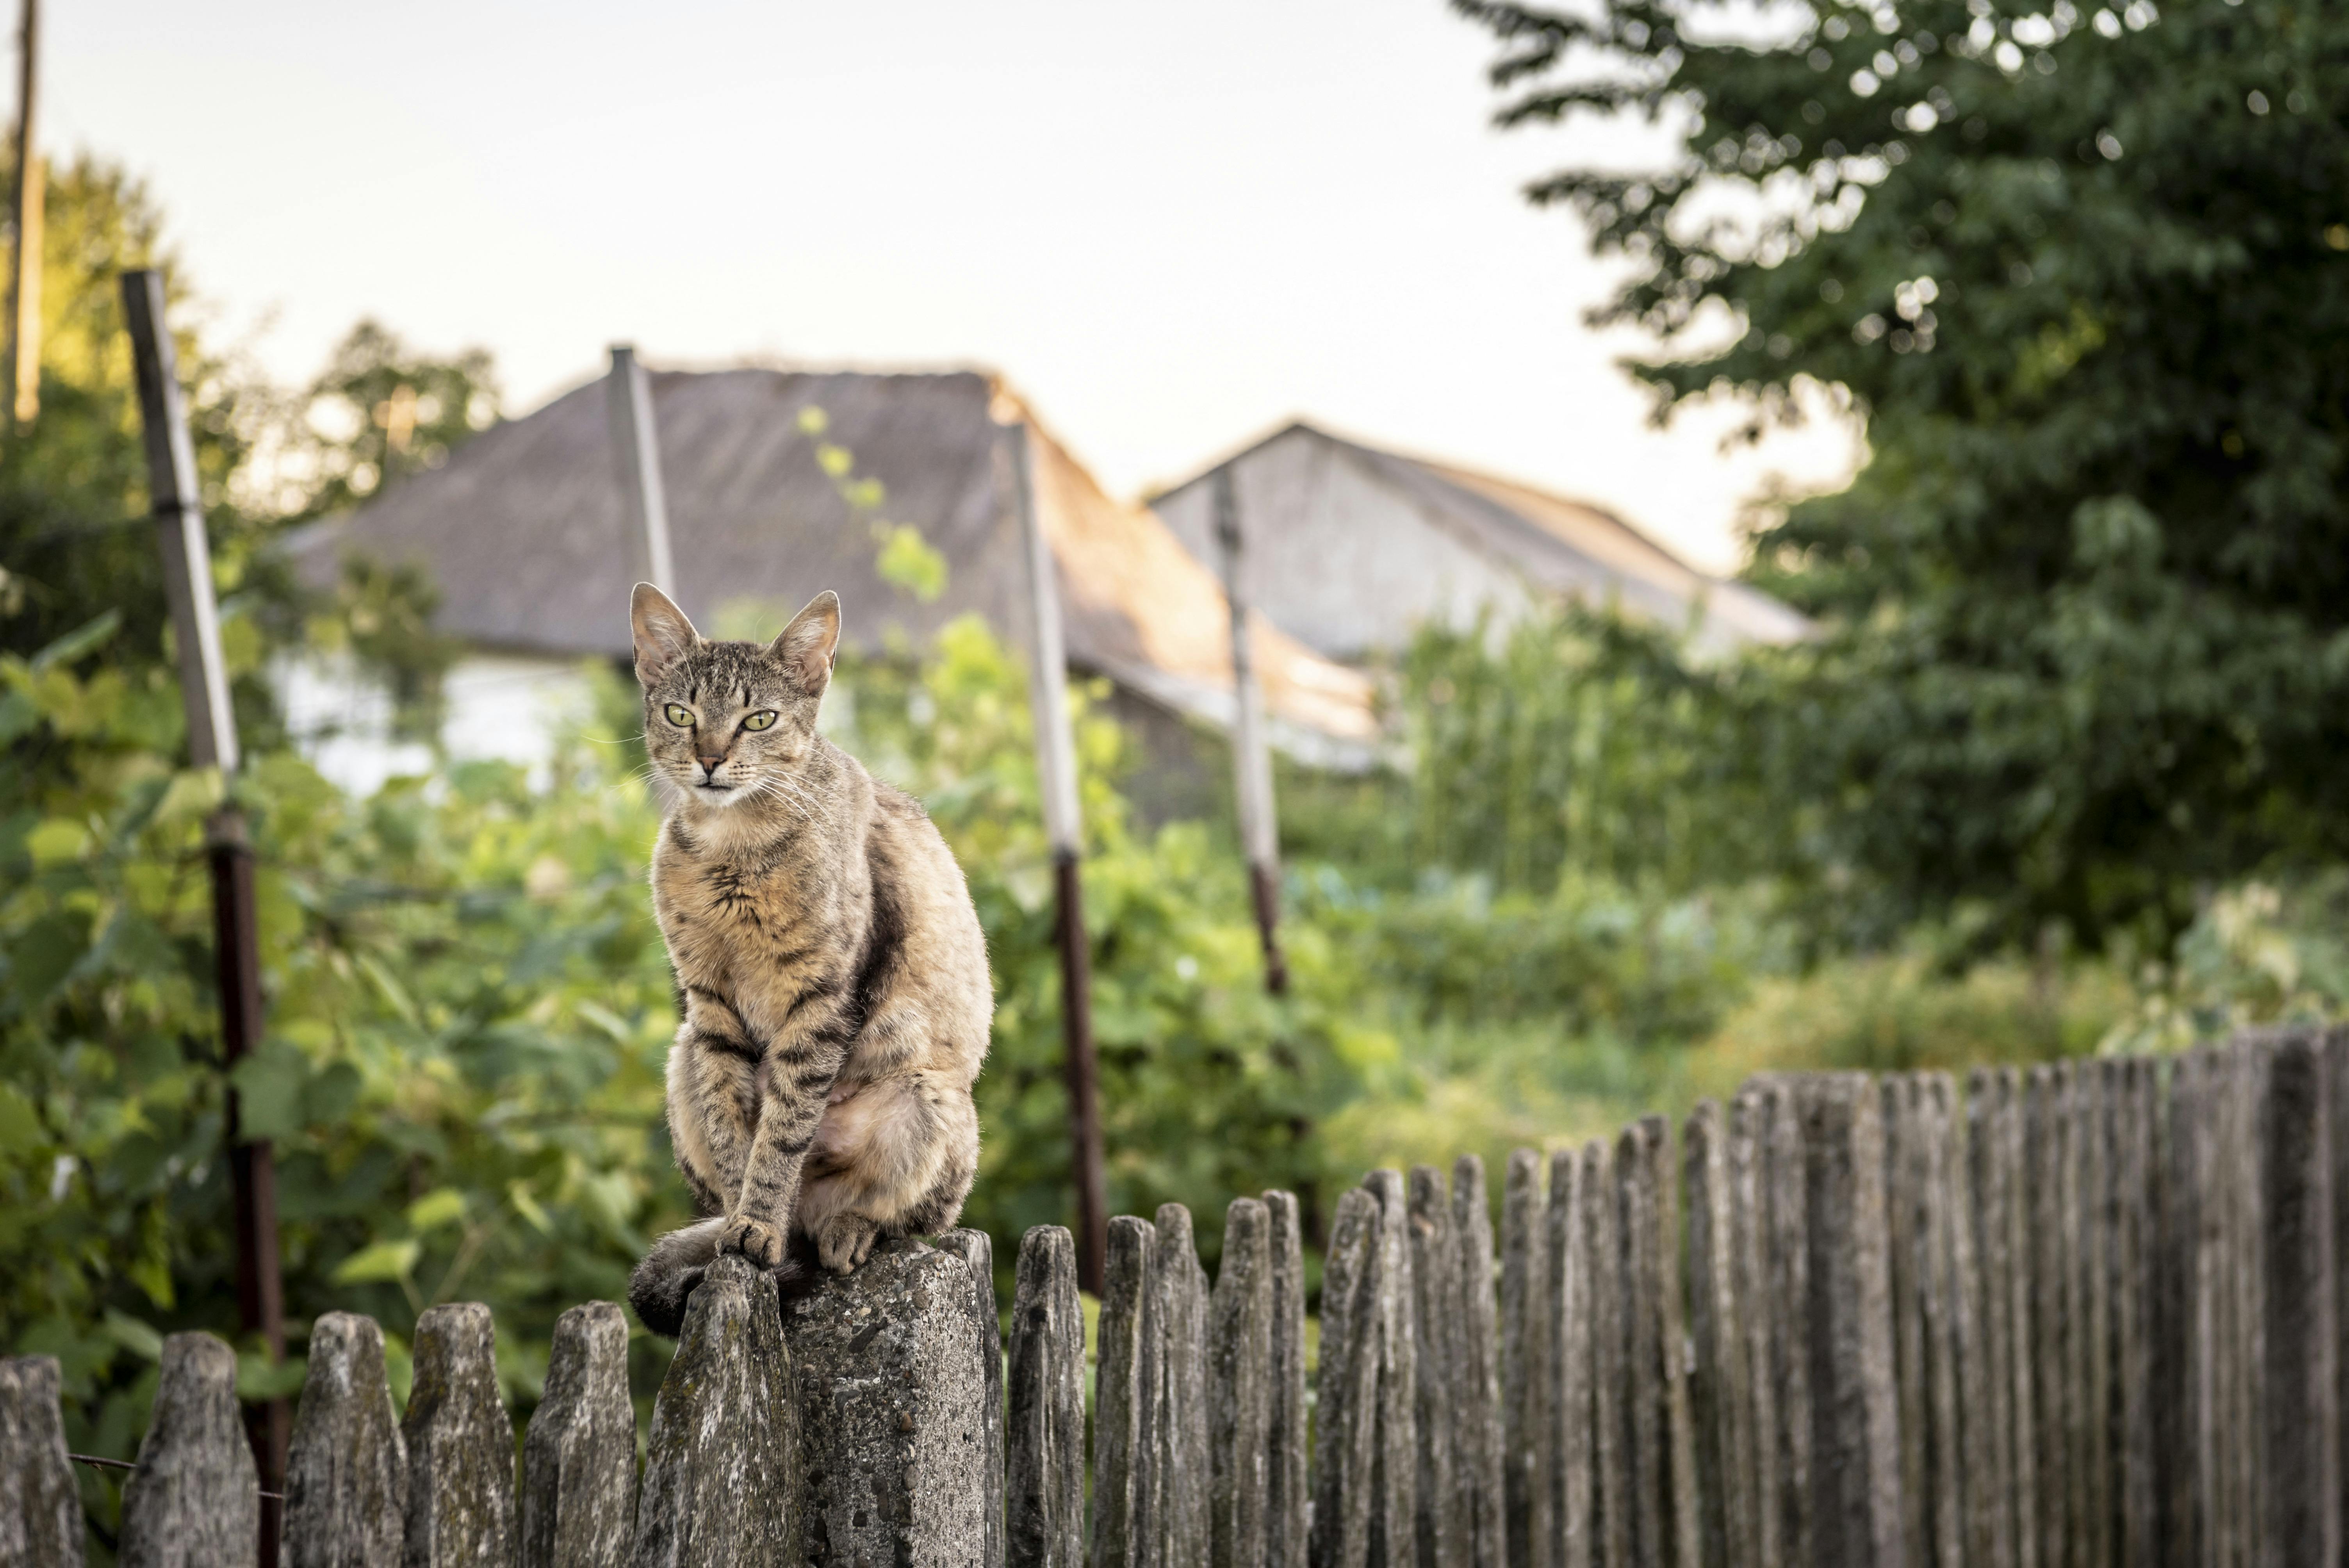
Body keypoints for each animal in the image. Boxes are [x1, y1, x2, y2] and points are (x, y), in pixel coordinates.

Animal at [625, 582, 991, 1333]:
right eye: (681, 713)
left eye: (759, 720)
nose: (710, 759)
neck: (732, 850)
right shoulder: (710, 1007)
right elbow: (738, 1135)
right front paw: (748, 1226)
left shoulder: (820, 1002)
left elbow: (785, 1128)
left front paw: (759, 1224)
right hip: (681, 1056)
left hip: (929, 1094)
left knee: (909, 1221)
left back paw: (844, 1230)